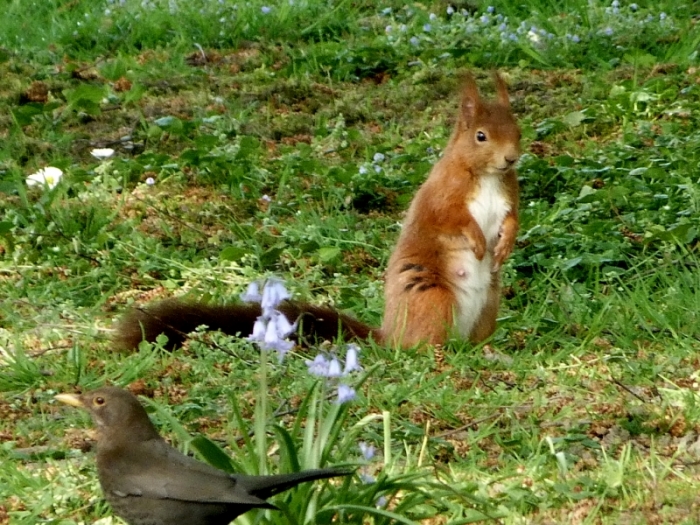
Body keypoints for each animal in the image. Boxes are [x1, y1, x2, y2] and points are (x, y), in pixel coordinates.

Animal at [114, 72, 520, 351]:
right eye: (481, 136)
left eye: (518, 129)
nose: (512, 158)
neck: (486, 176)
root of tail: (391, 334)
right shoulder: (443, 196)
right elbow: (453, 219)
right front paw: (479, 242)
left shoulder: (508, 195)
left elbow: (513, 218)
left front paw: (504, 243)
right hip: (433, 299)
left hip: (489, 305)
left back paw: (488, 352)